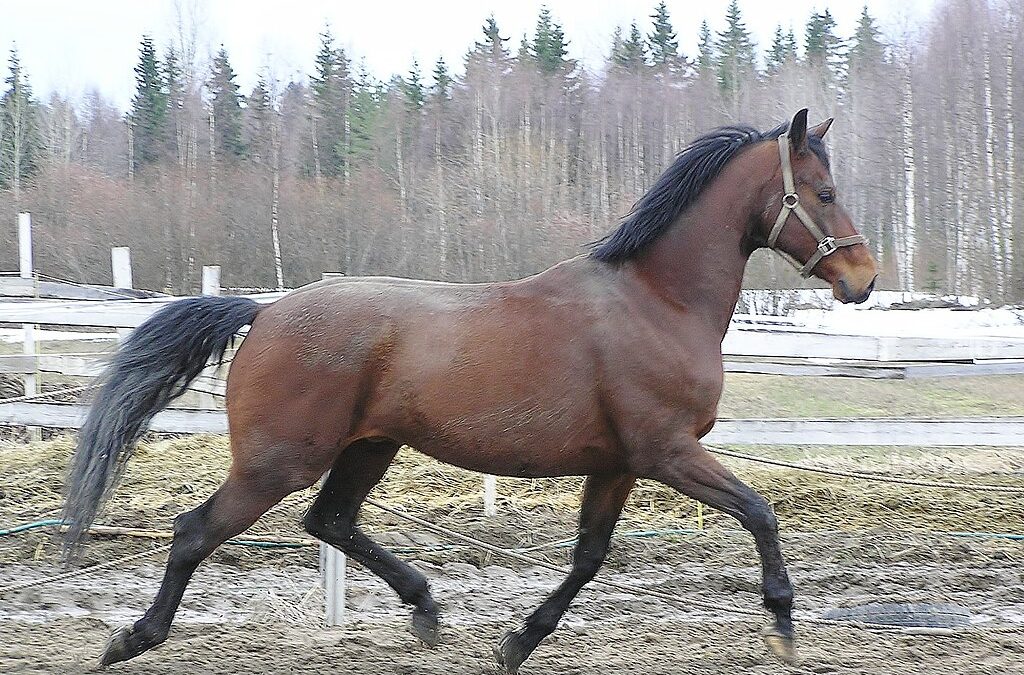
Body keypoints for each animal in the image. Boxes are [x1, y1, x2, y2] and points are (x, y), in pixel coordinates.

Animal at [64, 108, 876, 671]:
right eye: (824, 190)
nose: (864, 279)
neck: (657, 301)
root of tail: (263, 311)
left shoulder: (617, 464)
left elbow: (588, 557)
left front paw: (516, 642)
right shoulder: (666, 452)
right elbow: (761, 513)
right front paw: (783, 627)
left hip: (368, 447)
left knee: (331, 521)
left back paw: (426, 608)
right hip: (279, 462)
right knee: (195, 531)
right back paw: (132, 639)